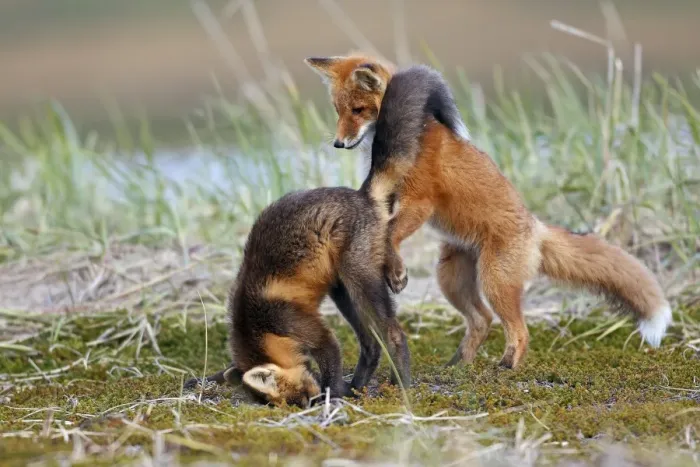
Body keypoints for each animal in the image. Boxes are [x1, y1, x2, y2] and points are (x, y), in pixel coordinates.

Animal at [184, 187, 410, 407]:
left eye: (302, 397)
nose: (311, 403)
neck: (255, 325)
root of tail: (360, 194)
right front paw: (209, 379)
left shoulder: (297, 325)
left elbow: (330, 360)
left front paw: (332, 397)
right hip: (342, 292)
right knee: (371, 344)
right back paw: (356, 387)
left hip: (359, 280)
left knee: (393, 334)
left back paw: (399, 385)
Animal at [305, 53, 672, 369]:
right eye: (338, 111)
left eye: (358, 109)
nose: (338, 143)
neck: (416, 133)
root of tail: (535, 227)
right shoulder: (392, 200)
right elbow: (385, 231)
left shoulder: (419, 203)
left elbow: (392, 233)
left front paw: (396, 273)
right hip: (451, 278)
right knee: (482, 320)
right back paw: (459, 366)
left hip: (494, 281)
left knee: (518, 330)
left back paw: (506, 367)